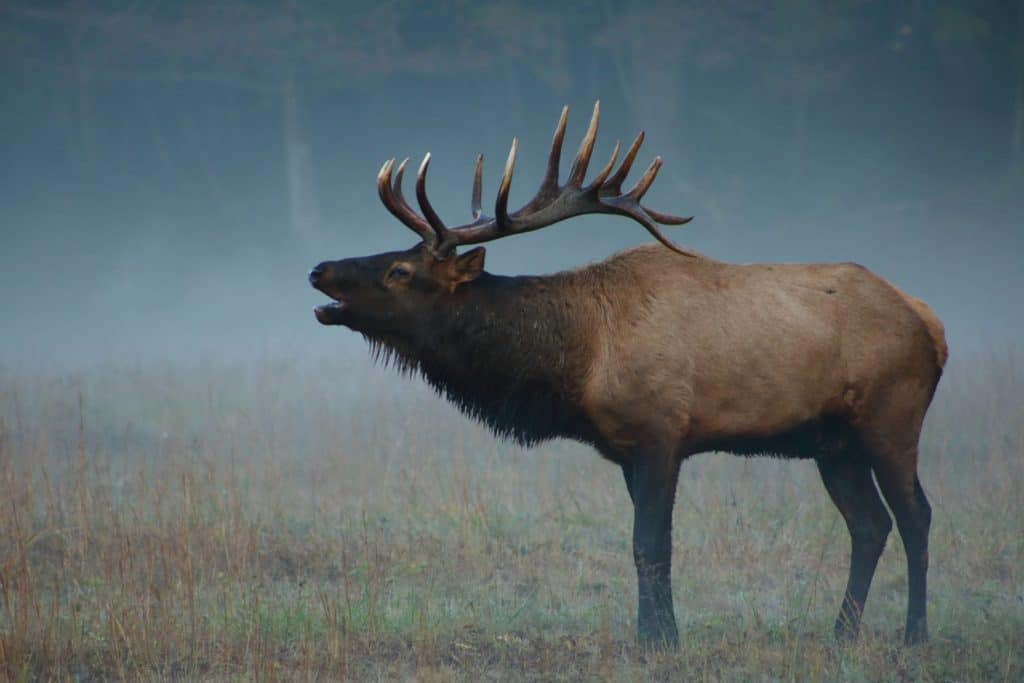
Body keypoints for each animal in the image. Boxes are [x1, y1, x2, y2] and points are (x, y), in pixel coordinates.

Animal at [309, 102, 948, 649]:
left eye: (399, 269)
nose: (319, 270)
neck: (580, 359)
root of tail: (930, 322)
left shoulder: (663, 432)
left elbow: (650, 545)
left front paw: (657, 642)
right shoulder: (624, 449)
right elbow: (648, 547)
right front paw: (659, 633)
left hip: (892, 417)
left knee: (915, 515)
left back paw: (915, 634)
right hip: (832, 442)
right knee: (869, 525)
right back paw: (842, 632)